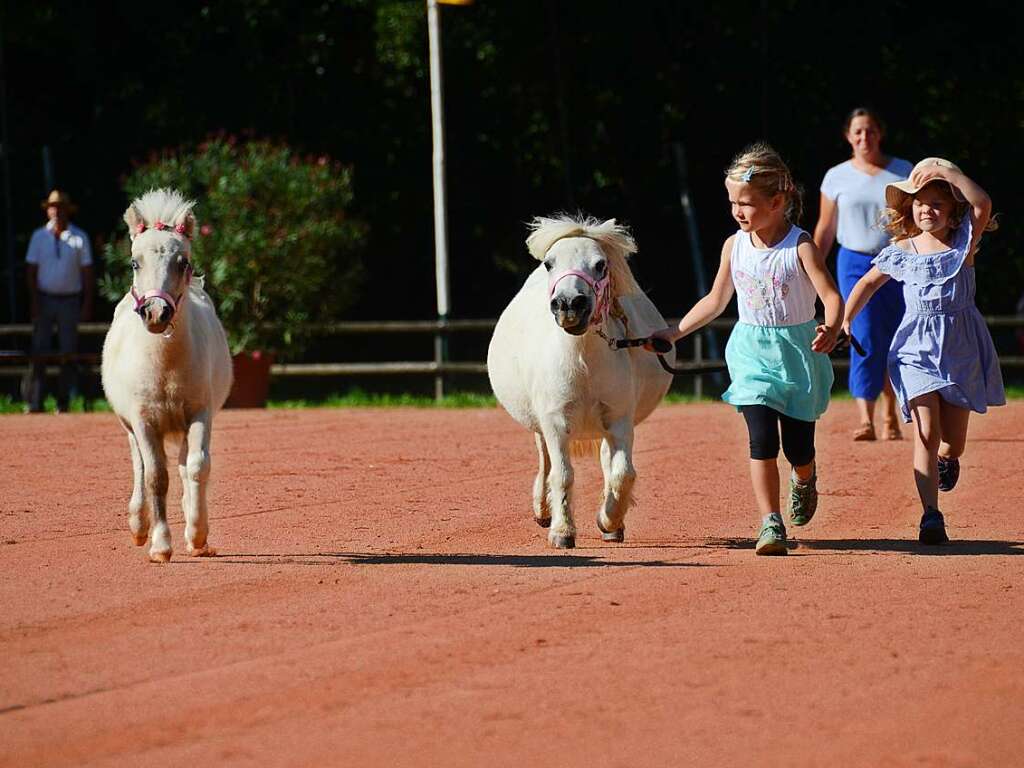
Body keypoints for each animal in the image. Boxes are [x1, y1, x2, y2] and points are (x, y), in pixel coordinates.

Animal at [101, 189, 232, 561]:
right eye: (135, 262)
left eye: (182, 262)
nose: (156, 313)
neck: (165, 364)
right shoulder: (144, 420)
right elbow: (156, 476)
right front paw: (160, 544)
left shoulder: (199, 413)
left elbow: (197, 466)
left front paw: (198, 534)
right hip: (130, 426)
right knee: (140, 466)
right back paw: (138, 525)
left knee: (186, 466)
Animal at [485, 214, 671, 548]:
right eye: (549, 263)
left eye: (600, 264)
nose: (569, 304)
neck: (583, 360)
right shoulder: (555, 421)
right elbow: (562, 474)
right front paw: (562, 531)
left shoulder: (620, 421)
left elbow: (623, 473)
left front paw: (609, 520)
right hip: (541, 427)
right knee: (545, 462)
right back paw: (543, 511)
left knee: (608, 462)